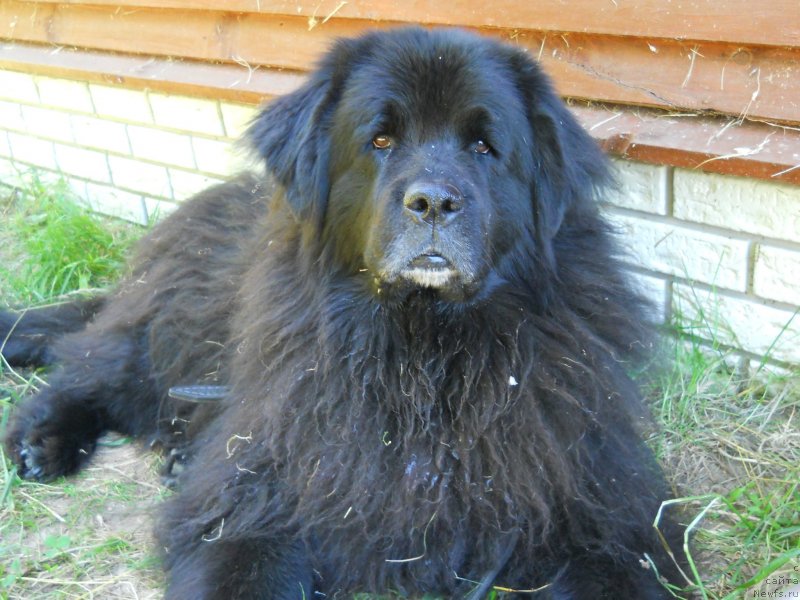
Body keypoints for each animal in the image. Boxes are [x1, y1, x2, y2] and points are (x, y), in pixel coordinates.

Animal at [3, 27, 684, 600]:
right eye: (380, 140)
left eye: (484, 146)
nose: (432, 201)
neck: (423, 352)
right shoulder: (256, 506)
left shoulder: (604, 513)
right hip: (176, 329)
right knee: (93, 368)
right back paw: (40, 440)